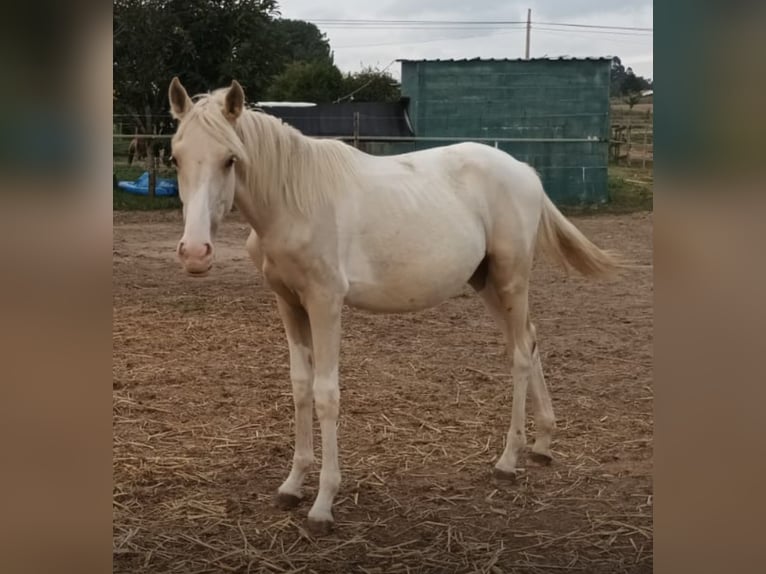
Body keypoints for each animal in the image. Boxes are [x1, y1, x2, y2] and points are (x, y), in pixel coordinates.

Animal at [166, 79, 624, 536]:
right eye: (176, 156)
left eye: (230, 159)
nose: (195, 253)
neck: (294, 201)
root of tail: (526, 172)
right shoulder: (289, 303)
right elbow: (299, 387)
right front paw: (292, 485)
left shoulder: (325, 303)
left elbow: (326, 394)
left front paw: (323, 504)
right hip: (487, 284)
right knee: (528, 340)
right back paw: (542, 445)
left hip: (511, 280)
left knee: (519, 357)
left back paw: (508, 461)